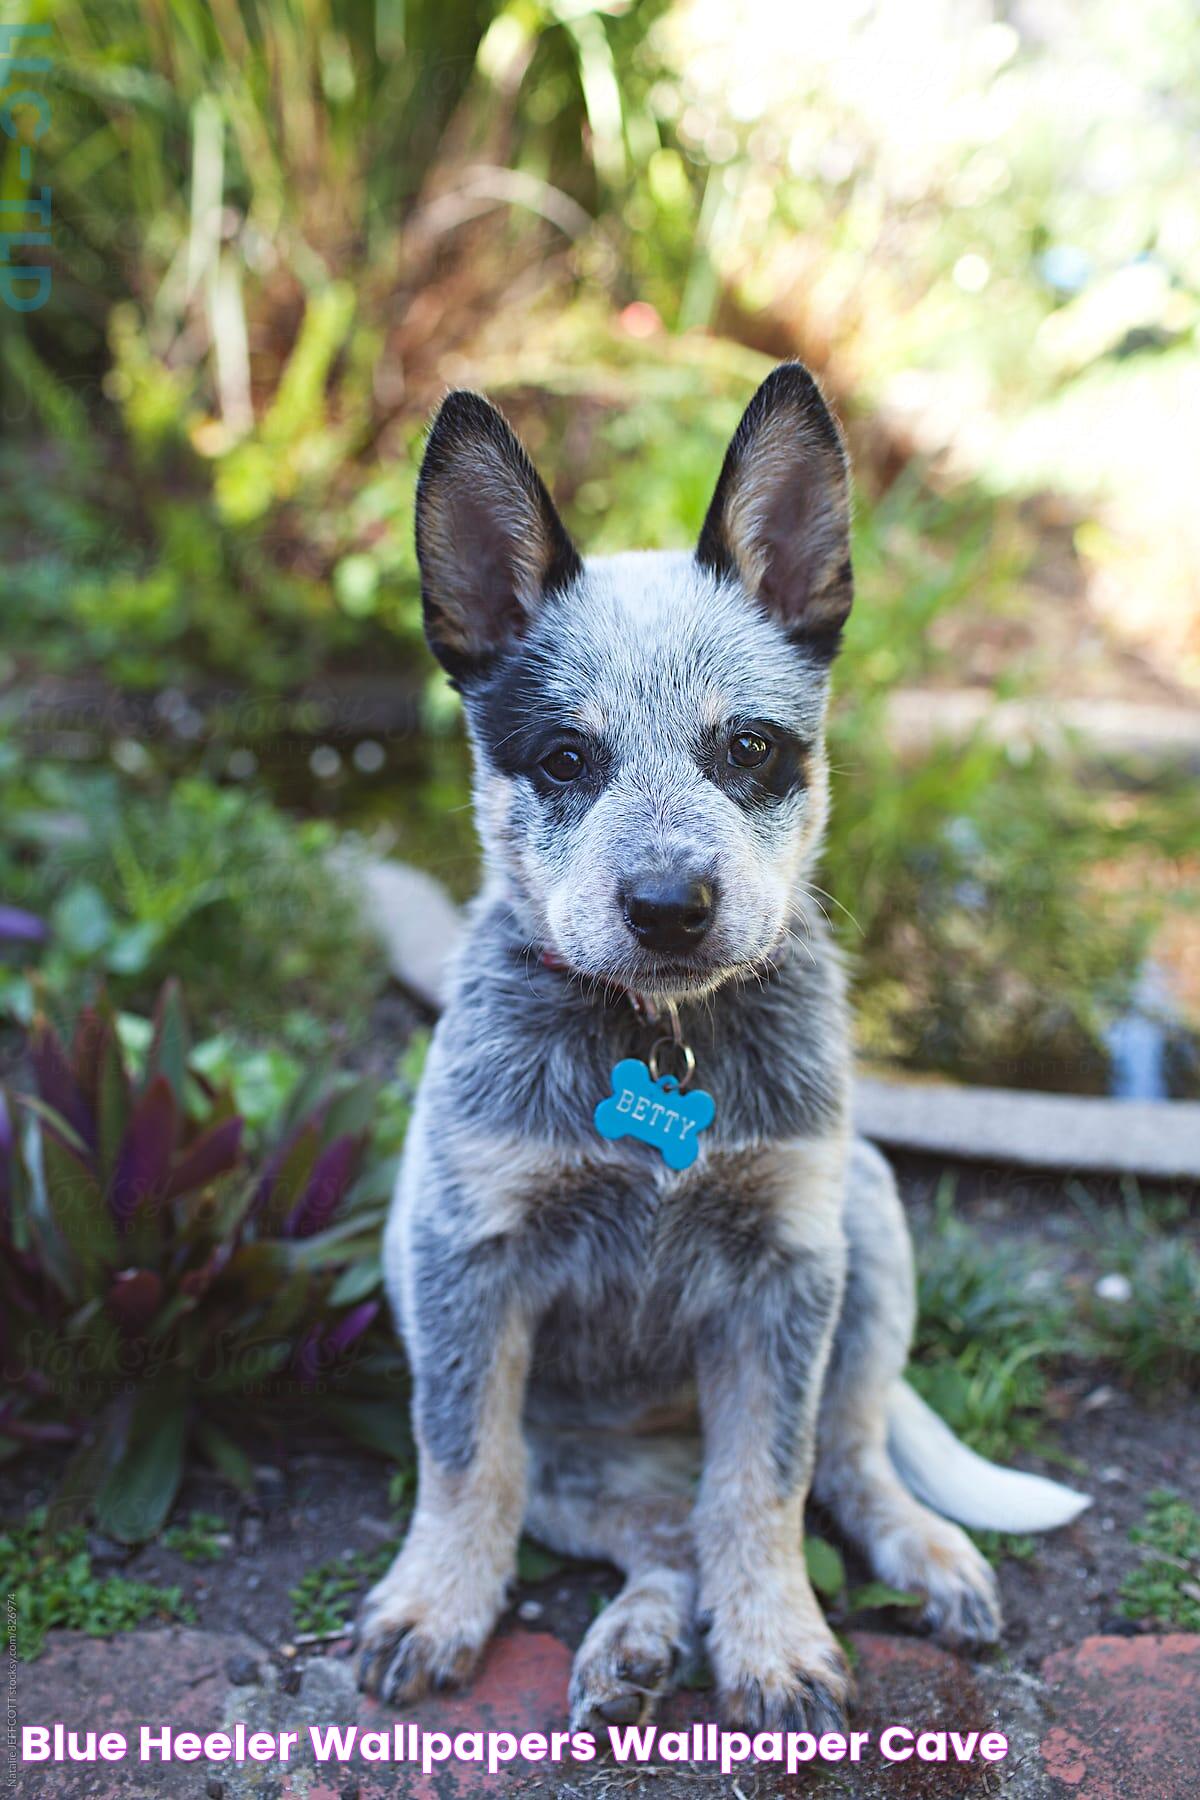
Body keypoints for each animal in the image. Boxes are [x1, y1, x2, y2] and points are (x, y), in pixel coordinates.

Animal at [354, 361, 1086, 1728]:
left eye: (748, 746)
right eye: (565, 757)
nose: (669, 904)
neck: (660, 1042)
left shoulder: (786, 1274)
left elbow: (768, 1480)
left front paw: (779, 1643)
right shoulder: (467, 1256)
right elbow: (464, 1458)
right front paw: (434, 1605)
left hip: (869, 1222)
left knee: (844, 1460)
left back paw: (925, 1556)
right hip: (584, 1463)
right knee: (659, 1546)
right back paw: (631, 1645)